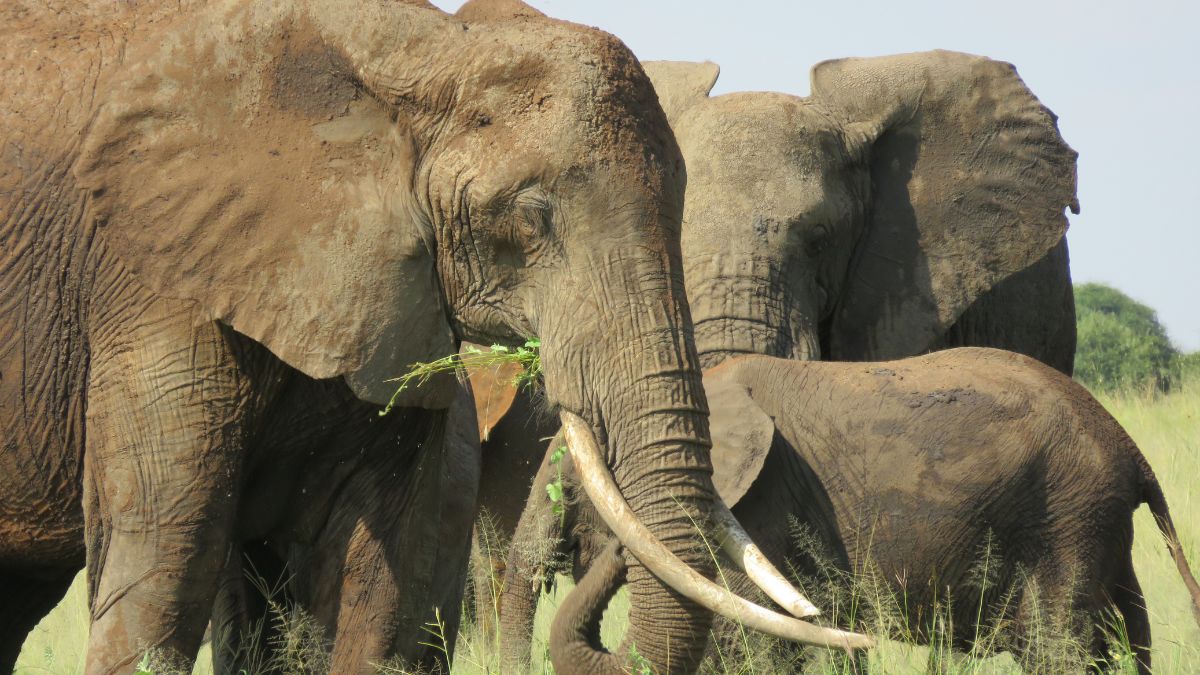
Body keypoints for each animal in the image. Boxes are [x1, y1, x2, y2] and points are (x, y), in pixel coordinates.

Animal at [501, 349, 1200, 673]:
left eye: (568, 484)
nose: (614, 549)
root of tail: (1130, 450)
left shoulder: (762, 505)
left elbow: (745, 641)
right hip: (1096, 526)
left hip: (1067, 516)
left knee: (1059, 650)